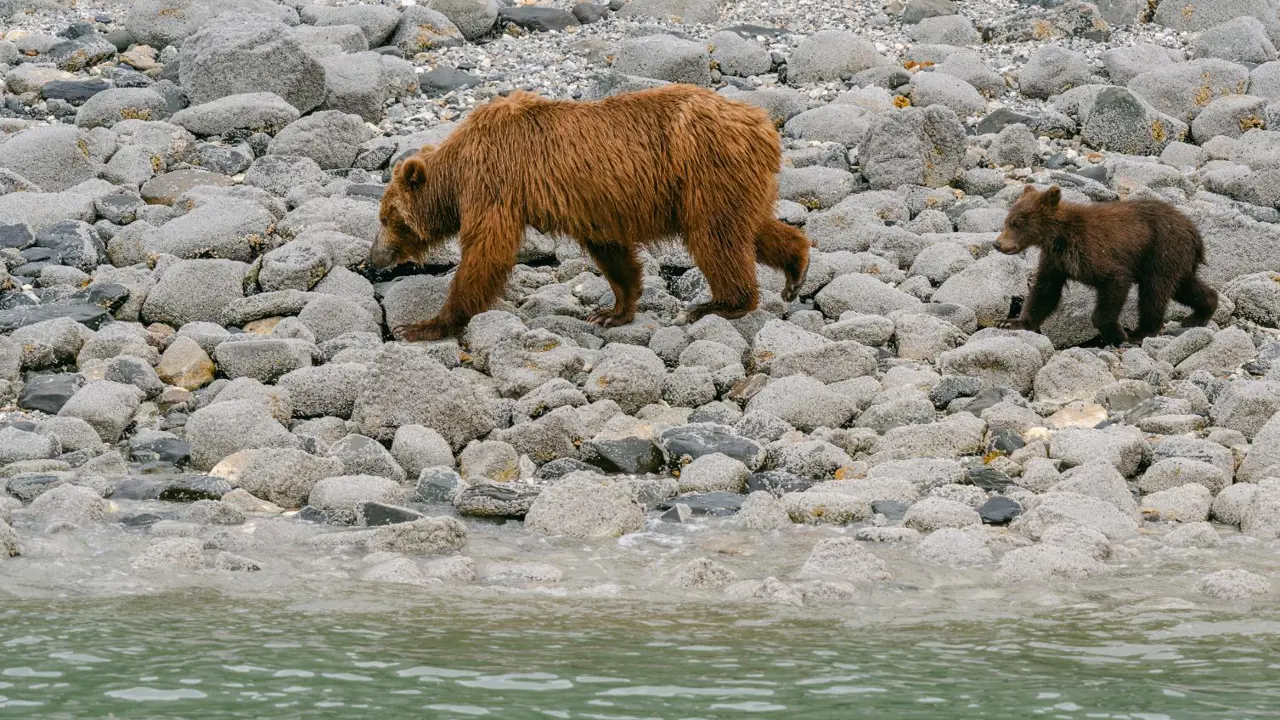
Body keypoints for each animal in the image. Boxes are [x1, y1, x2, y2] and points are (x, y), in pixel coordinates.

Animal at [367, 84, 811, 342]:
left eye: (387, 217)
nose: (373, 258)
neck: (457, 172)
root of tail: (762, 123)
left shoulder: (496, 181)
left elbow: (486, 250)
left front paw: (423, 325)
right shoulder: (595, 204)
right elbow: (612, 253)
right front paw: (612, 312)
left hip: (705, 169)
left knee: (715, 236)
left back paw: (718, 304)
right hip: (731, 180)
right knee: (748, 226)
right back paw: (796, 267)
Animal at [994, 184, 1218, 346]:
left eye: (1016, 223)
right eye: (1007, 220)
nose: (997, 243)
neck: (1058, 237)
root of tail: (1193, 230)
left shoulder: (1093, 253)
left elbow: (1114, 282)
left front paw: (1117, 334)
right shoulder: (1055, 261)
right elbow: (1044, 291)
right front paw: (1012, 322)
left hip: (1162, 248)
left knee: (1154, 291)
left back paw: (1141, 332)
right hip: (1174, 258)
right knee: (1183, 286)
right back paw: (1199, 314)